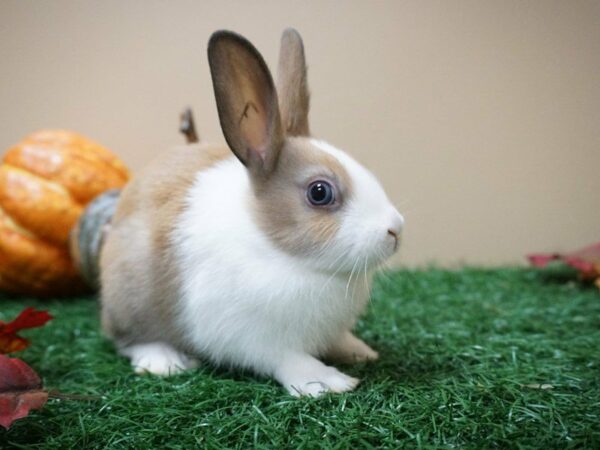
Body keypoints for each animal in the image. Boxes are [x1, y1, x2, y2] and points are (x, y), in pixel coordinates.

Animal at [98, 28, 406, 396]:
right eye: (320, 192)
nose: (396, 229)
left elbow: (338, 340)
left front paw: (360, 351)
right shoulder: (254, 337)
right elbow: (287, 358)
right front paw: (326, 382)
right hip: (131, 299)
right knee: (128, 339)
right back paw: (165, 362)